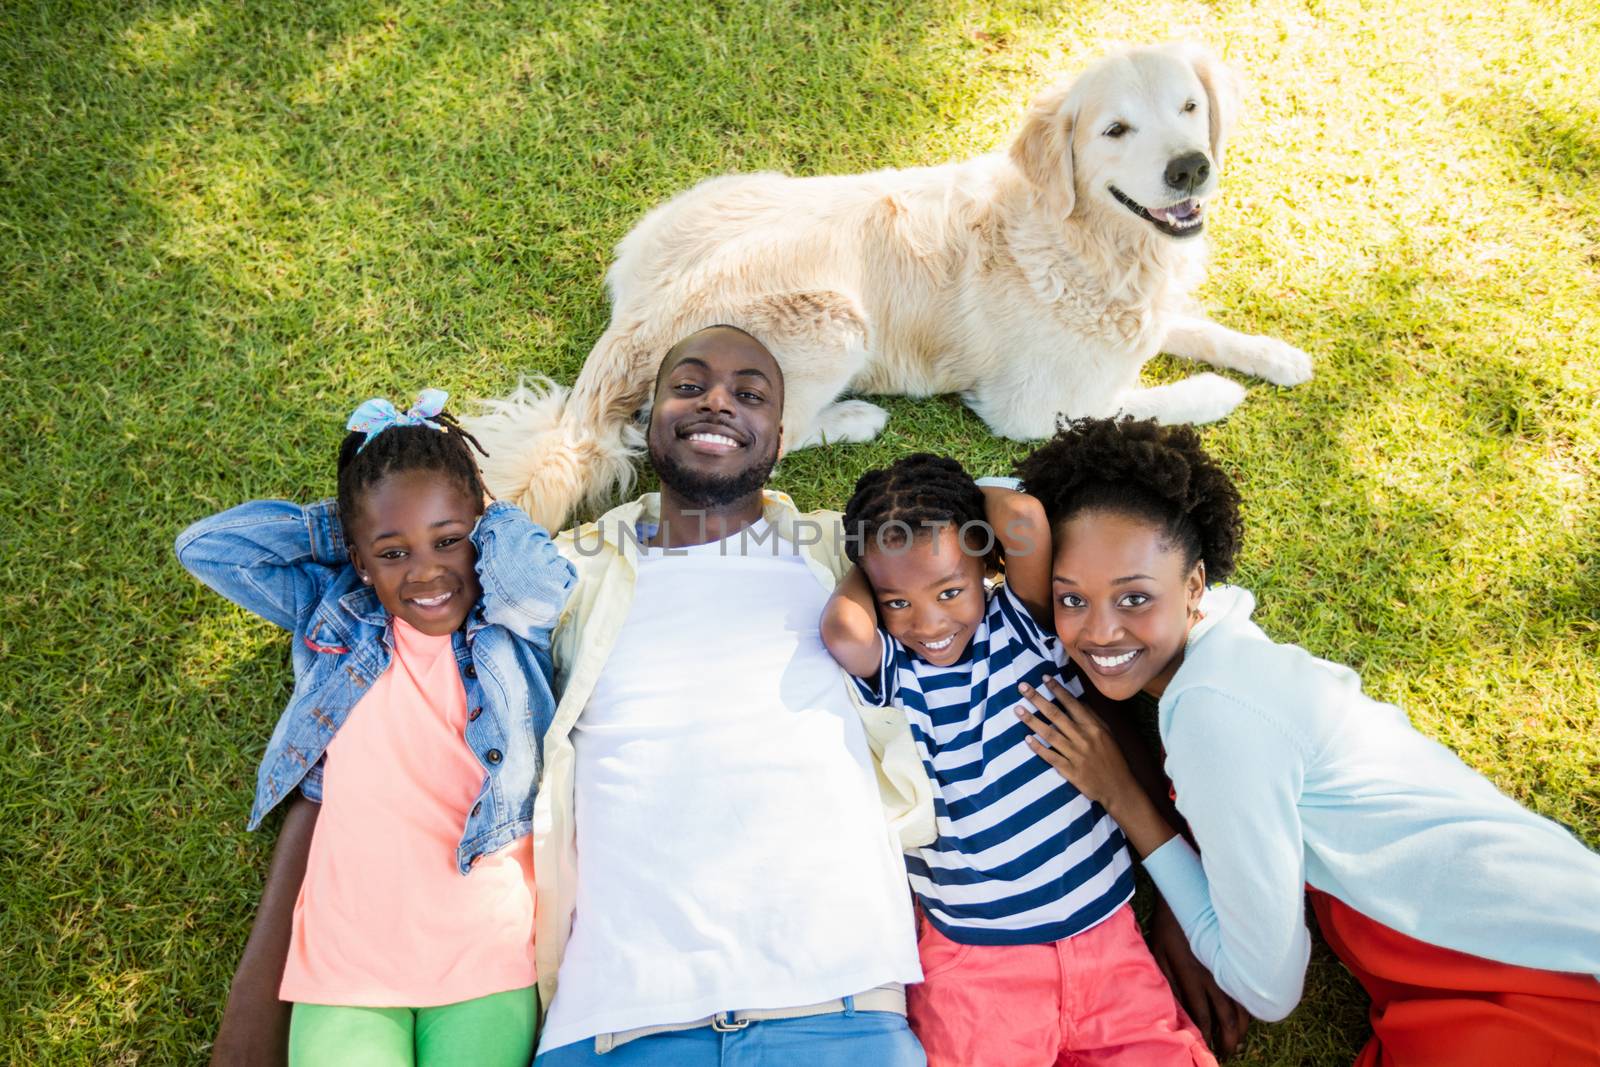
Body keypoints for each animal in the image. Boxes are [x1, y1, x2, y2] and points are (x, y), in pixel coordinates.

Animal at [470, 43, 1312, 527]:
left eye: (1189, 107)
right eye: (1115, 130)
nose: (1191, 168)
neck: (1091, 243)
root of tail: (630, 328)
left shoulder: (1143, 309)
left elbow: (1195, 325)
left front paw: (1278, 356)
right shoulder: (1026, 410)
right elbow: (1139, 406)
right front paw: (1217, 392)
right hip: (833, 319)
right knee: (774, 435)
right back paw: (855, 417)